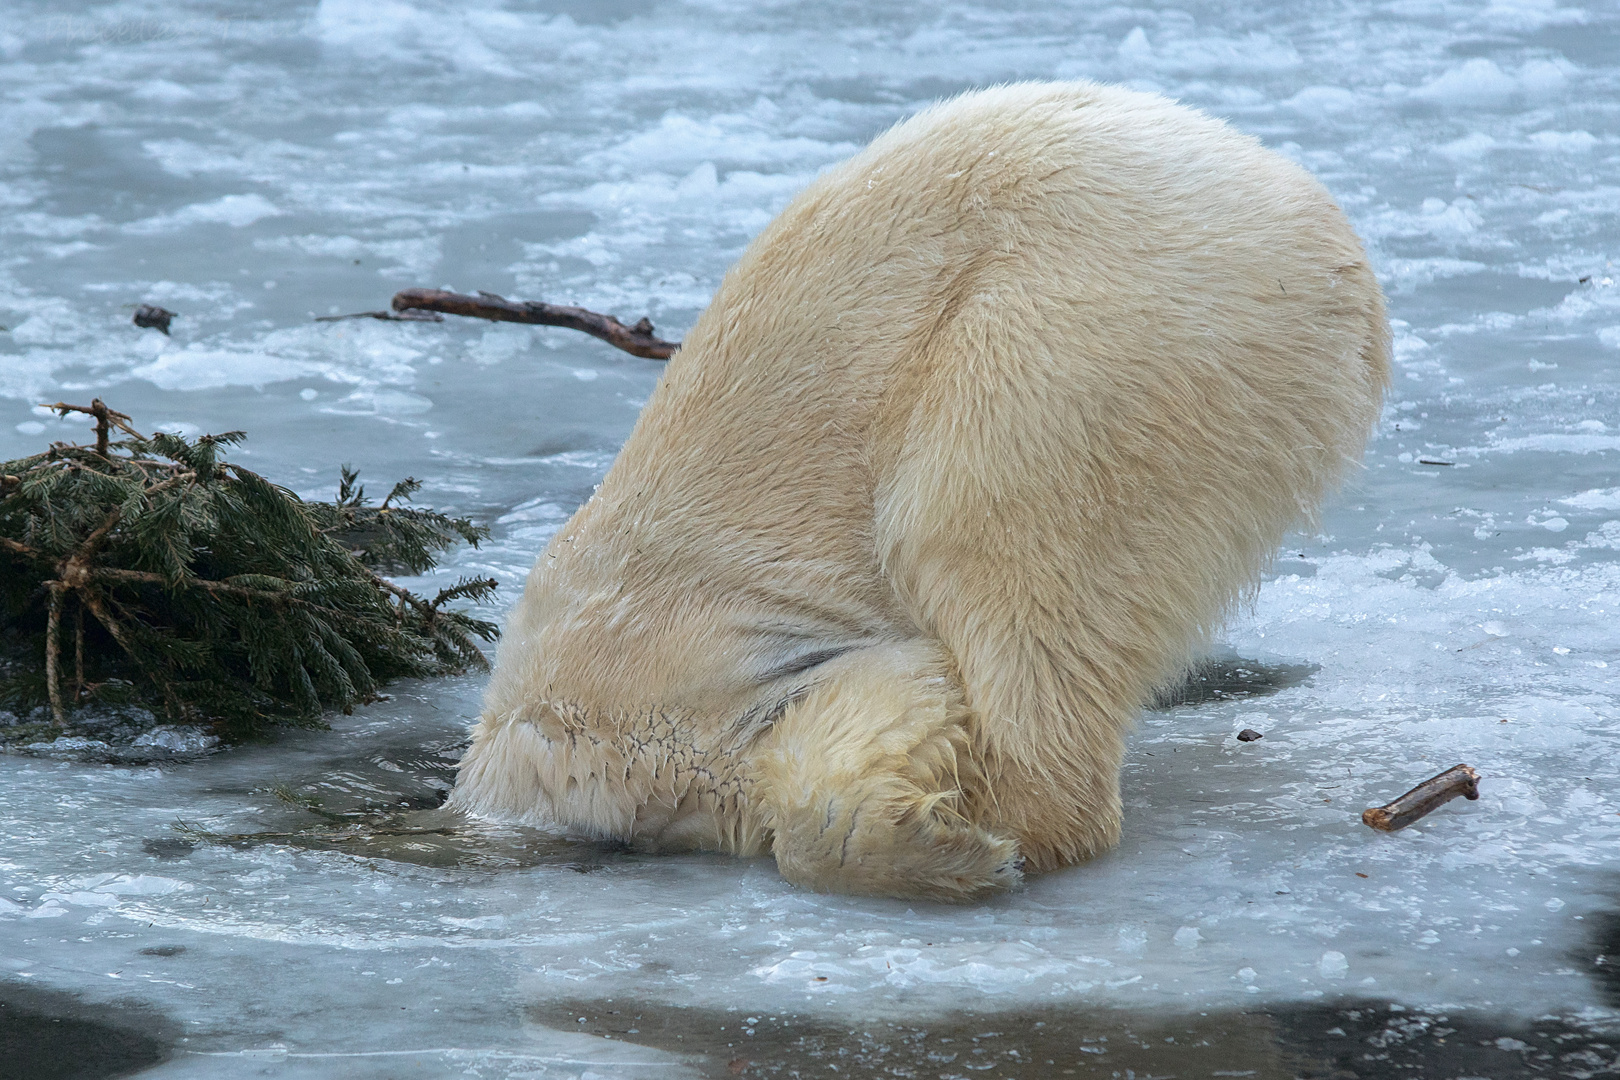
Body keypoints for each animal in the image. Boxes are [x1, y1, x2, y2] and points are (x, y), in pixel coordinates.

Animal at [456, 78, 1393, 906]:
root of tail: (1332, 251)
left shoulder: (677, 663)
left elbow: (867, 683)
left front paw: (926, 831)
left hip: (1088, 333)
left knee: (997, 537)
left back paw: (1016, 821)